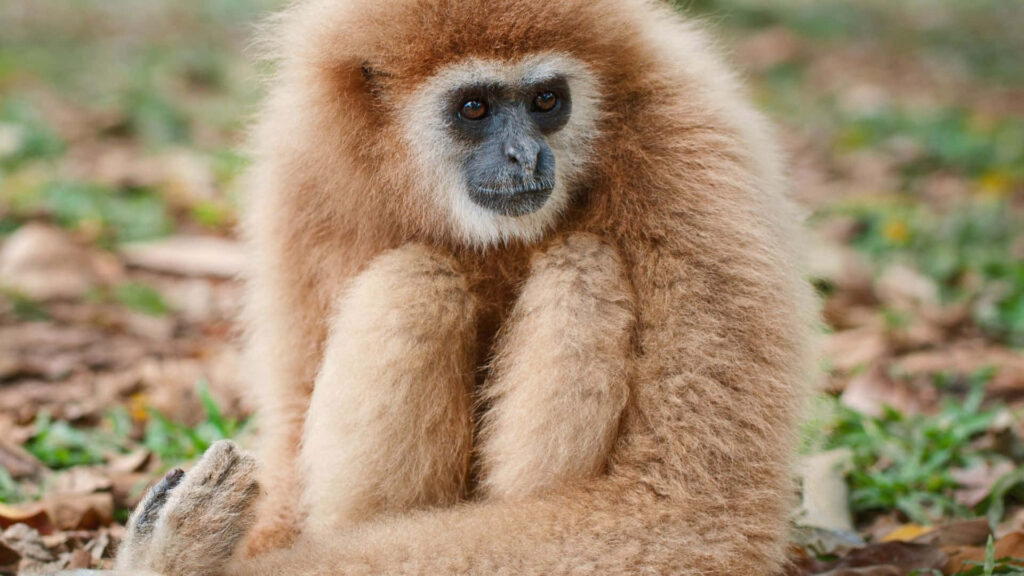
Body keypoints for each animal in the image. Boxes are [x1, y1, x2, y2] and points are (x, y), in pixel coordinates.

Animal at [114, 0, 817, 574]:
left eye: (546, 101)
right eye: (474, 107)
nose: (522, 156)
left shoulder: (691, 155)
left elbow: (689, 514)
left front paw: (169, 559)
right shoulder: (307, 171)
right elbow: (290, 427)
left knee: (581, 267)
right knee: (418, 280)